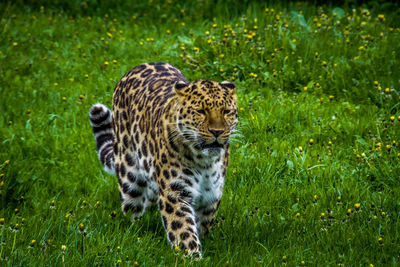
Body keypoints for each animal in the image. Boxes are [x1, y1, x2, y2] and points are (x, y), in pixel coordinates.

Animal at [90, 62, 238, 258]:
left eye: (227, 112)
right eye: (201, 111)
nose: (217, 131)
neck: (204, 161)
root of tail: (138, 66)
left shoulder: (211, 195)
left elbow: (203, 225)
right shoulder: (175, 192)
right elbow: (183, 230)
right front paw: (191, 257)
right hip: (129, 174)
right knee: (132, 208)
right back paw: (135, 232)